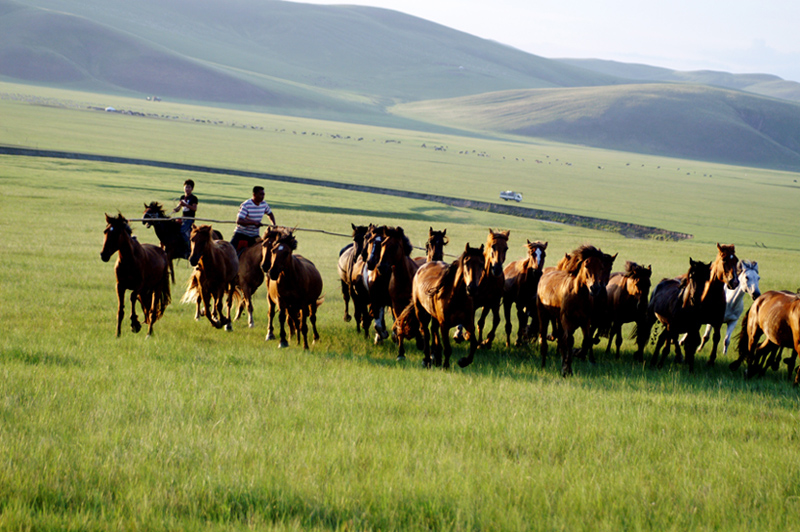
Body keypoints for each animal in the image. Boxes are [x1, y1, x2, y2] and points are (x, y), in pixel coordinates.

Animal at [536, 246, 620, 378]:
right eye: (586, 265)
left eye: (602, 267)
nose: (595, 288)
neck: (578, 295)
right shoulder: (567, 319)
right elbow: (569, 341)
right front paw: (568, 369)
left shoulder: (586, 320)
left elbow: (586, 340)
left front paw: (573, 361)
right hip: (544, 315)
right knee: (544, 338)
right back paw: (544, 364)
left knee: (561, 339)